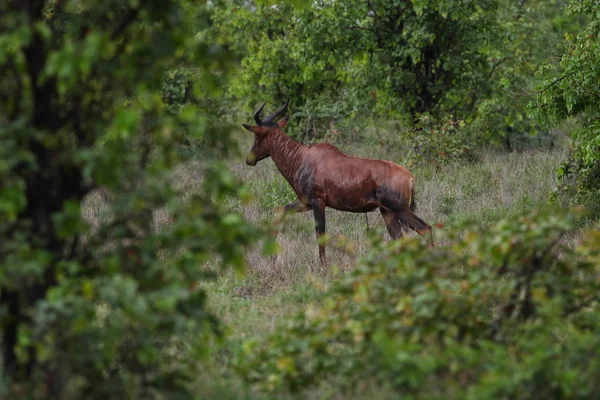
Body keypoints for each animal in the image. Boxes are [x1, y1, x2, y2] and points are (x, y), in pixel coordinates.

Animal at [241, 100, 434, 264]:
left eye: (258, 136)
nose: (249, 159)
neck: (303, 157)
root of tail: (409, 176)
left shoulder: (318, 202)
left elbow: (320, 233)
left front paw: (323, 266)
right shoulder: (305, 203)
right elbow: (282, 211)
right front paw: (272, 257)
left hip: (400, 209)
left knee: (425, 228)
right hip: (387, 212)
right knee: (399, 238)